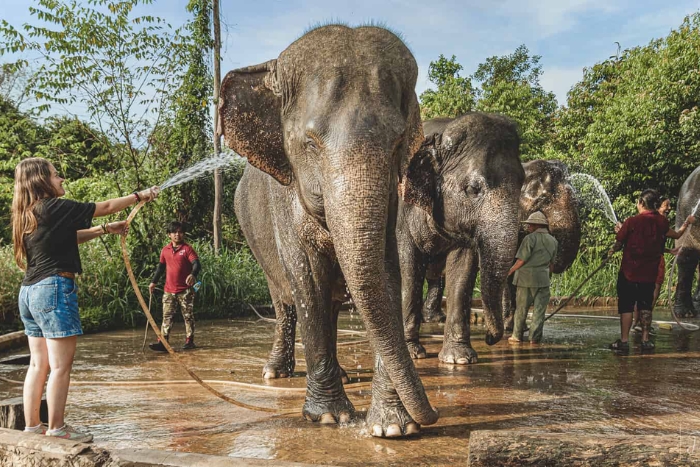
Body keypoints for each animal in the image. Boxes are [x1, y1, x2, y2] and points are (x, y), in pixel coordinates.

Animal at [221, 25, 438, 438]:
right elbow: (307, 282)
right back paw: (275, 372)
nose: (433, 415)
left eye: (397, 144)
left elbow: (386, 275)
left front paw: (392, 427)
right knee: (284, 301)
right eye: (309, 144)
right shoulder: (284, 196)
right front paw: (329, 417)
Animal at [399, 114, 525, 364]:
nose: (490, 338)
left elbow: (463, 267)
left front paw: (459, 359)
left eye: (522, 182)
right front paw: (413, 354)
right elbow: (408, 265)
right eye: (473, 189)